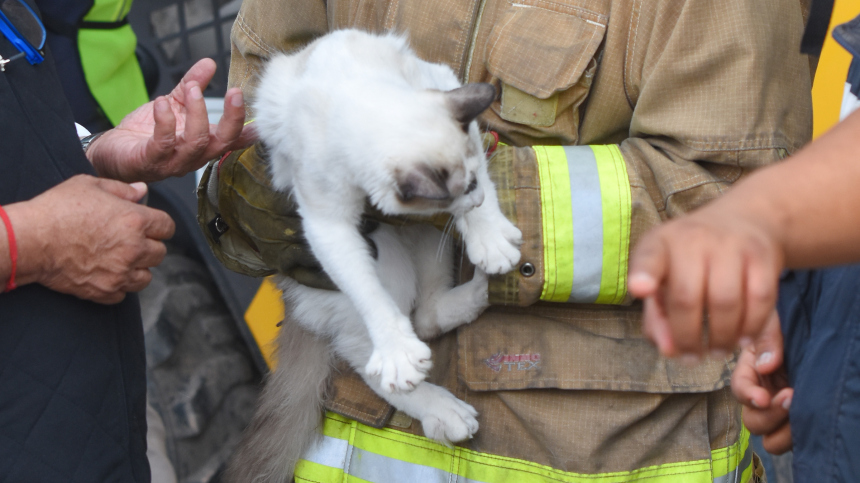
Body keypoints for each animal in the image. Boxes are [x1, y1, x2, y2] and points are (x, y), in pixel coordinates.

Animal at [228, 31, 520, 483]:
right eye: (466, 187)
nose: (476, 198)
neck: (358, 94)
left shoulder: (442, 84)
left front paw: (490, 238)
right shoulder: (326, 225)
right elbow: (367, 293)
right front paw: (398, 350)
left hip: (419, 235)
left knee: (427, 315)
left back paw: (483, 292)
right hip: (380, 263)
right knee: (368, 353)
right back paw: (443, 410)